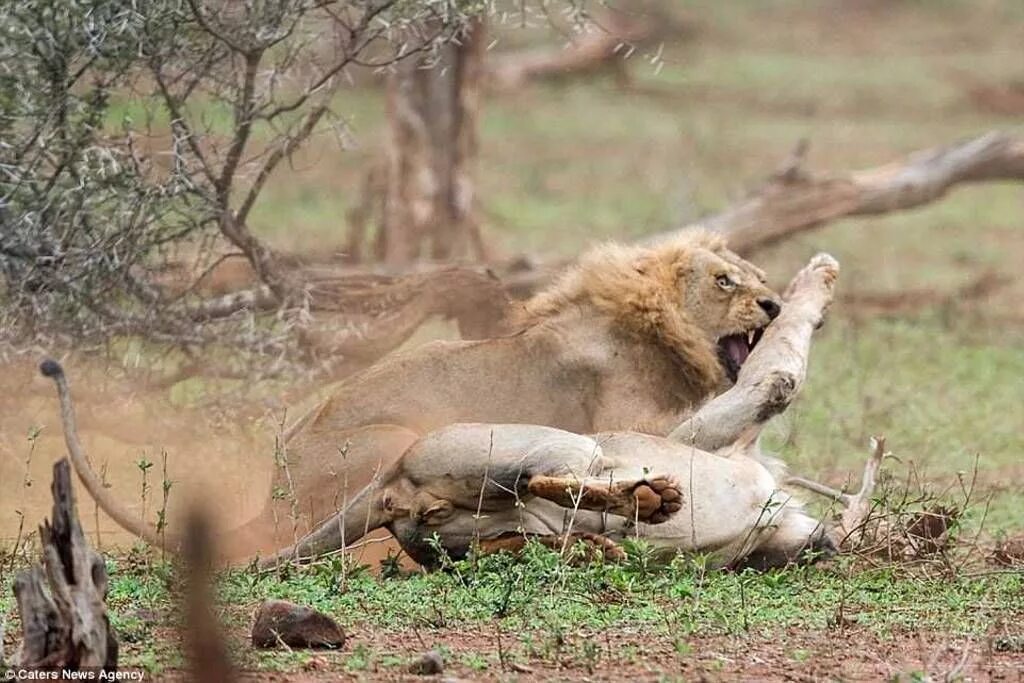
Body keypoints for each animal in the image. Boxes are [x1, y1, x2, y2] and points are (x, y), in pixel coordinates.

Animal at [44, 229, 782, 561]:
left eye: (759, 275)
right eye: (725, 281)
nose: (774, 305)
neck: (658, 328)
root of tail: (267, 499)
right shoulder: (633, 421)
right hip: (396, 440)